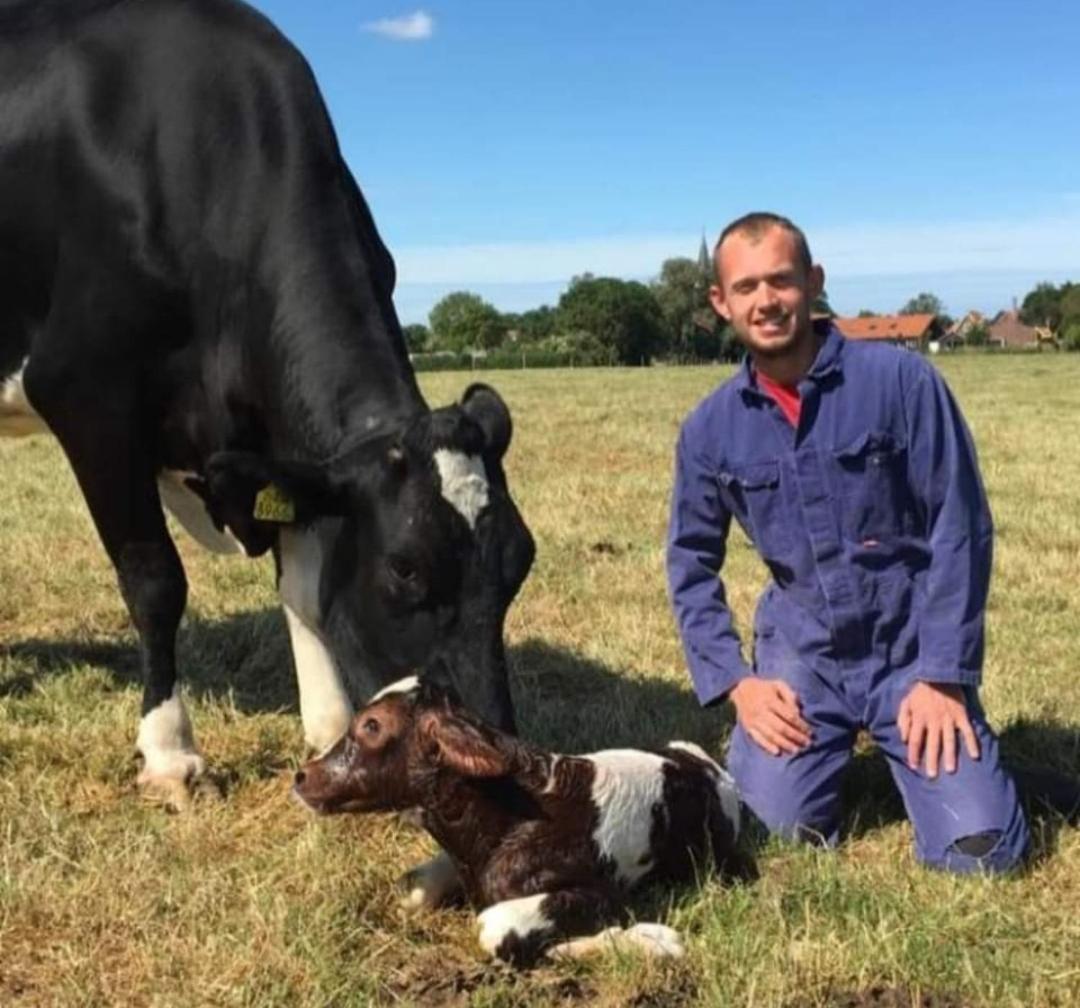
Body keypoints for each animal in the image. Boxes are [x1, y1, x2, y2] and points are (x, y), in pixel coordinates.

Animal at [0, 0, 535, 803]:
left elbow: (305, 586)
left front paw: (329, 725)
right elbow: (155, 581)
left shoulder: (287, 449)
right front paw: (170, 754)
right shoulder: (88, 396)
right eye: (404, 569)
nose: (495, 756)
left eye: (521, 559)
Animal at [291, 674, 747, 963]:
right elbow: (413, 885)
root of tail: (709, 766)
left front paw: (655, 942)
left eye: (371, 726)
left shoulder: (599, 892)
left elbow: (494, 927)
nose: (301, 775)